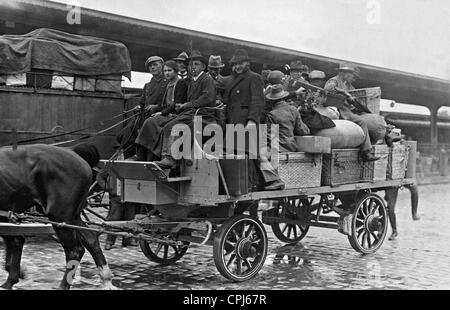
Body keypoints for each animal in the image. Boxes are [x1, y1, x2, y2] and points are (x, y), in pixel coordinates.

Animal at [0, 144, 115, 290]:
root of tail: (73, 151)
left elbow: (14, 240)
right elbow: (14, 240)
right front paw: (14, 276)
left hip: (60, 216)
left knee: (75, 251)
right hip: (72, 216)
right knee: (91, 240)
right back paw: (106, 278)